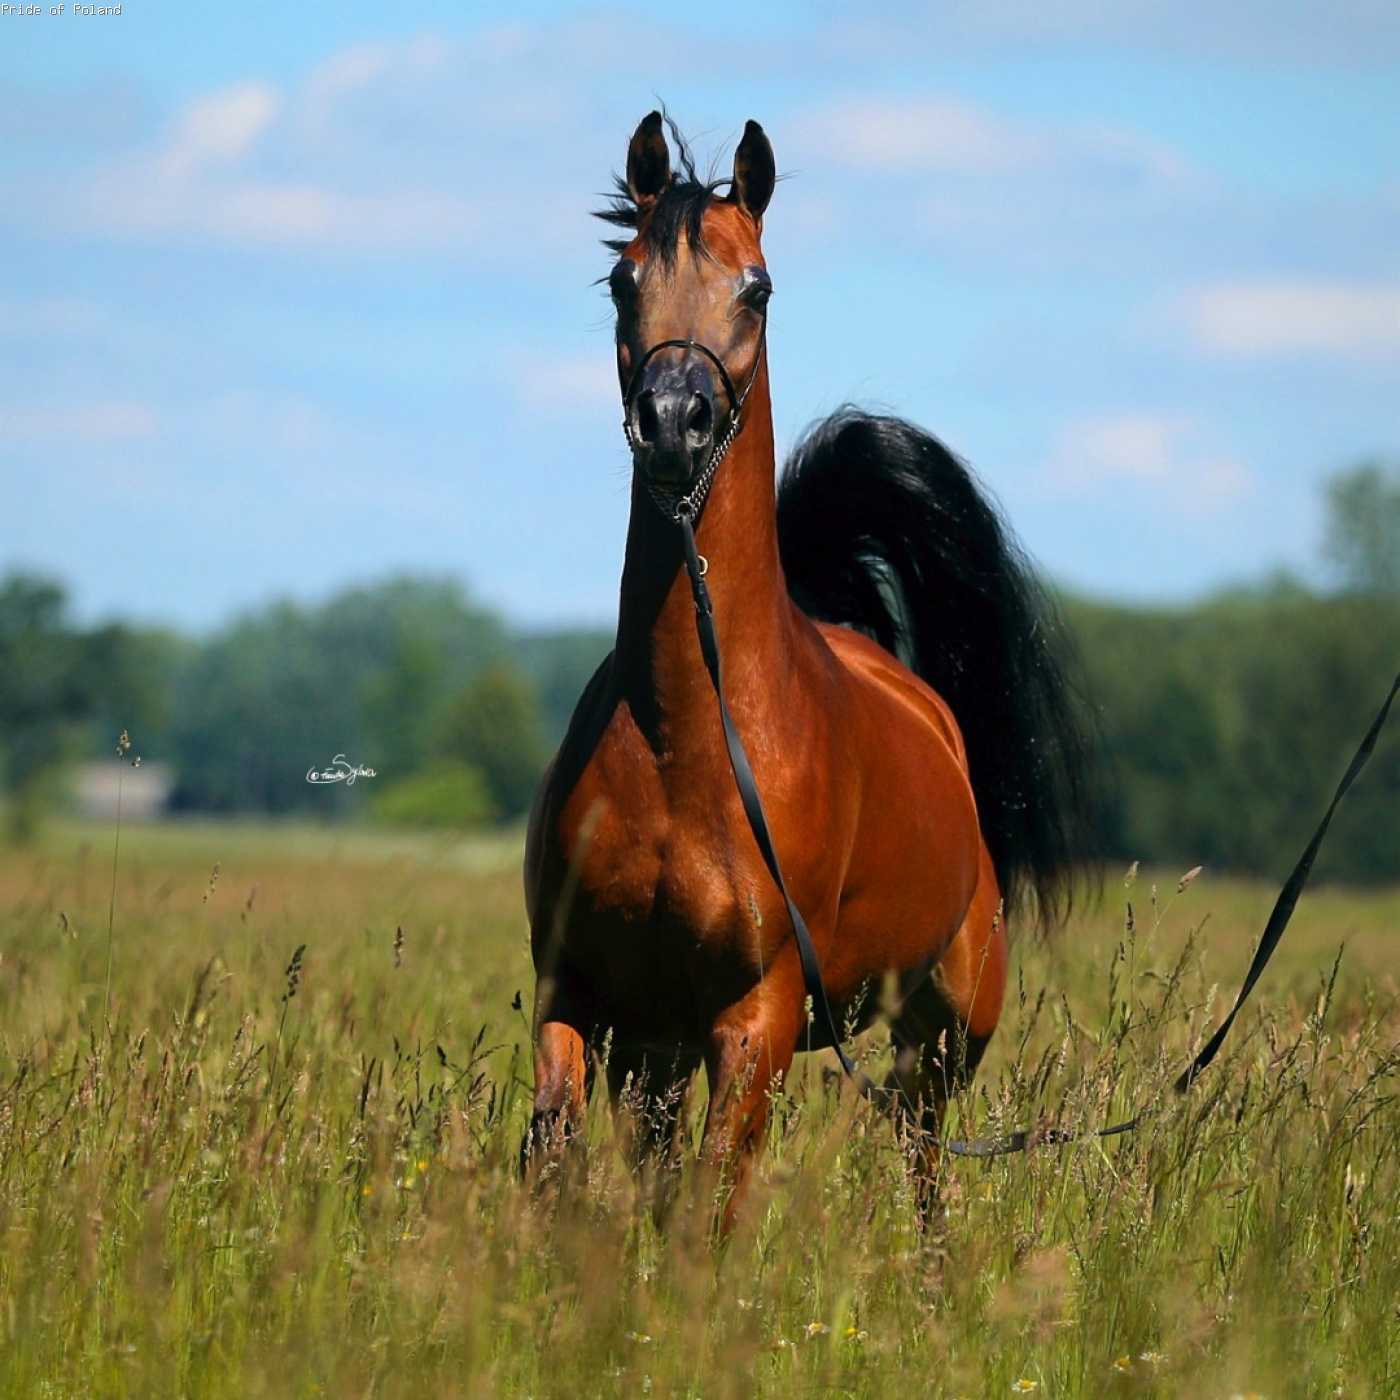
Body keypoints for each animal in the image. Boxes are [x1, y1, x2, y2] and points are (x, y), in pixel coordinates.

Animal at [521, 111, 1095, 1231]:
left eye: (759, 288)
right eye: (621, 279)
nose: (672, 421)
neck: (687, 736)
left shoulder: (759, 1016)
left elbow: (711, 1205)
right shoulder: (591, 999)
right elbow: (558, 1156)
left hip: (943, 1036)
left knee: (924, 1167)